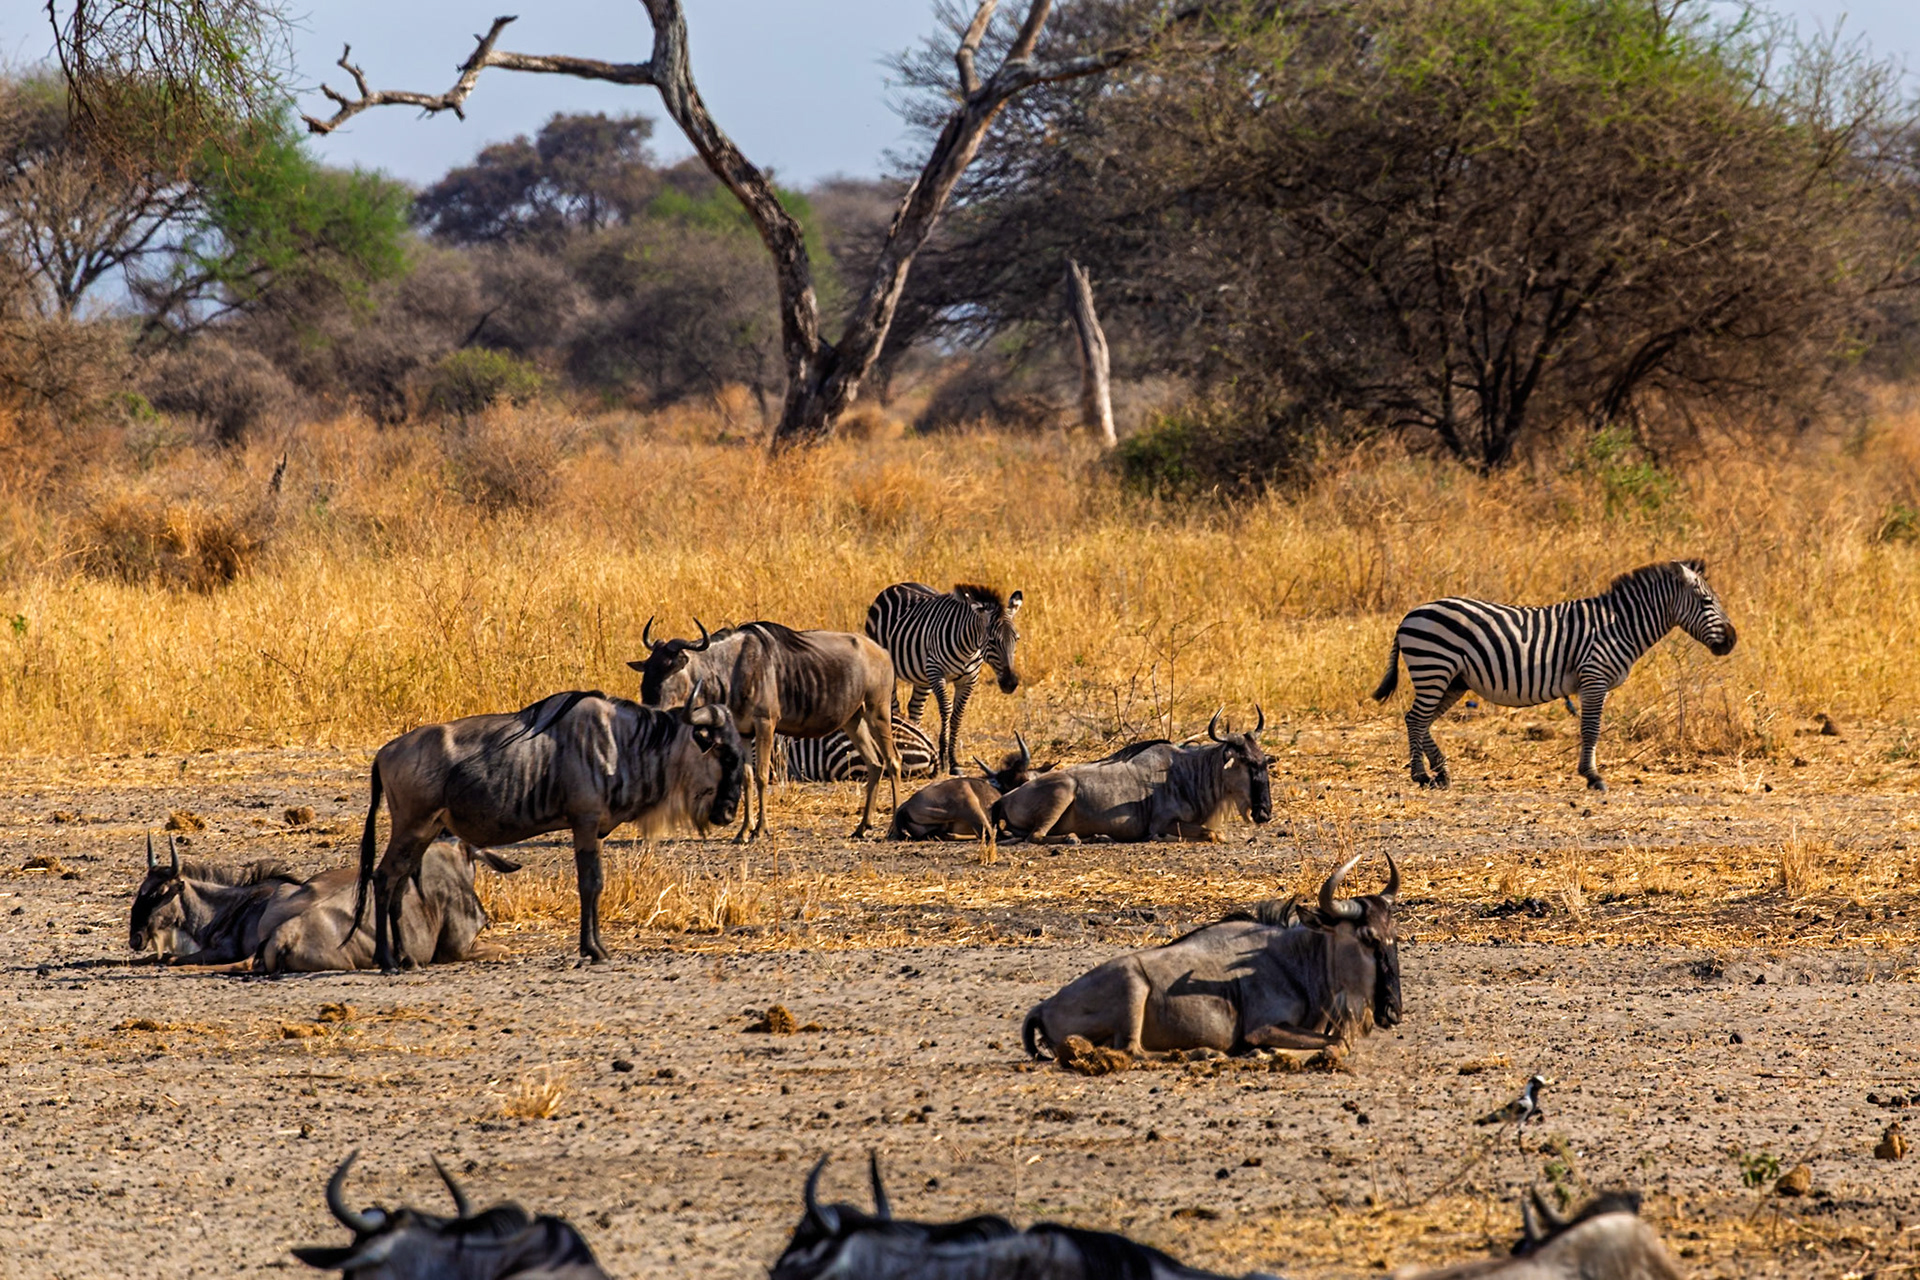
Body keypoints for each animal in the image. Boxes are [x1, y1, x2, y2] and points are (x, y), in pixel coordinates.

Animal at [864, 582, 1024, 775]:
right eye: (992, 640)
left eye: (1016, 639)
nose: (1010, 683)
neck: (968, 647)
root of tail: (897, 585)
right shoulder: (936, 671)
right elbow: (946, 709)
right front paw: (943, 757)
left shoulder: (969, 679)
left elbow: (957, 715)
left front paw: (953, 761)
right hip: (891, 668)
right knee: (893, 706)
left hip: (922, 676)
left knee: (915, 707)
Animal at [1372, 559, 1736, 791]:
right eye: (1707, 601)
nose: (1732, 641)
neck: (1619, 624)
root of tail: (1409, 615)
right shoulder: (1594, 677)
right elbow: (1591, 729)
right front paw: (1592, 776)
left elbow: (1589, 729)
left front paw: (1589, 773)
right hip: (1434, 667)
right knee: (1416, 718)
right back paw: (1421, 775)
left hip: (1453, 679)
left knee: (1421, 720)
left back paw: (1440, 773)